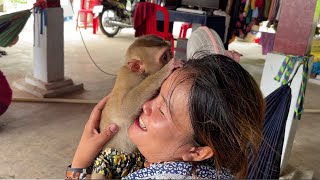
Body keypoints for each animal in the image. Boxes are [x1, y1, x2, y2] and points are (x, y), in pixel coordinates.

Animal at [91, 34, 184, 179]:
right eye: (164, 57)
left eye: (170, 52)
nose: (171, 57)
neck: (140, 73)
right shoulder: (130, 78)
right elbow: (125, 107)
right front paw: (167, 69)